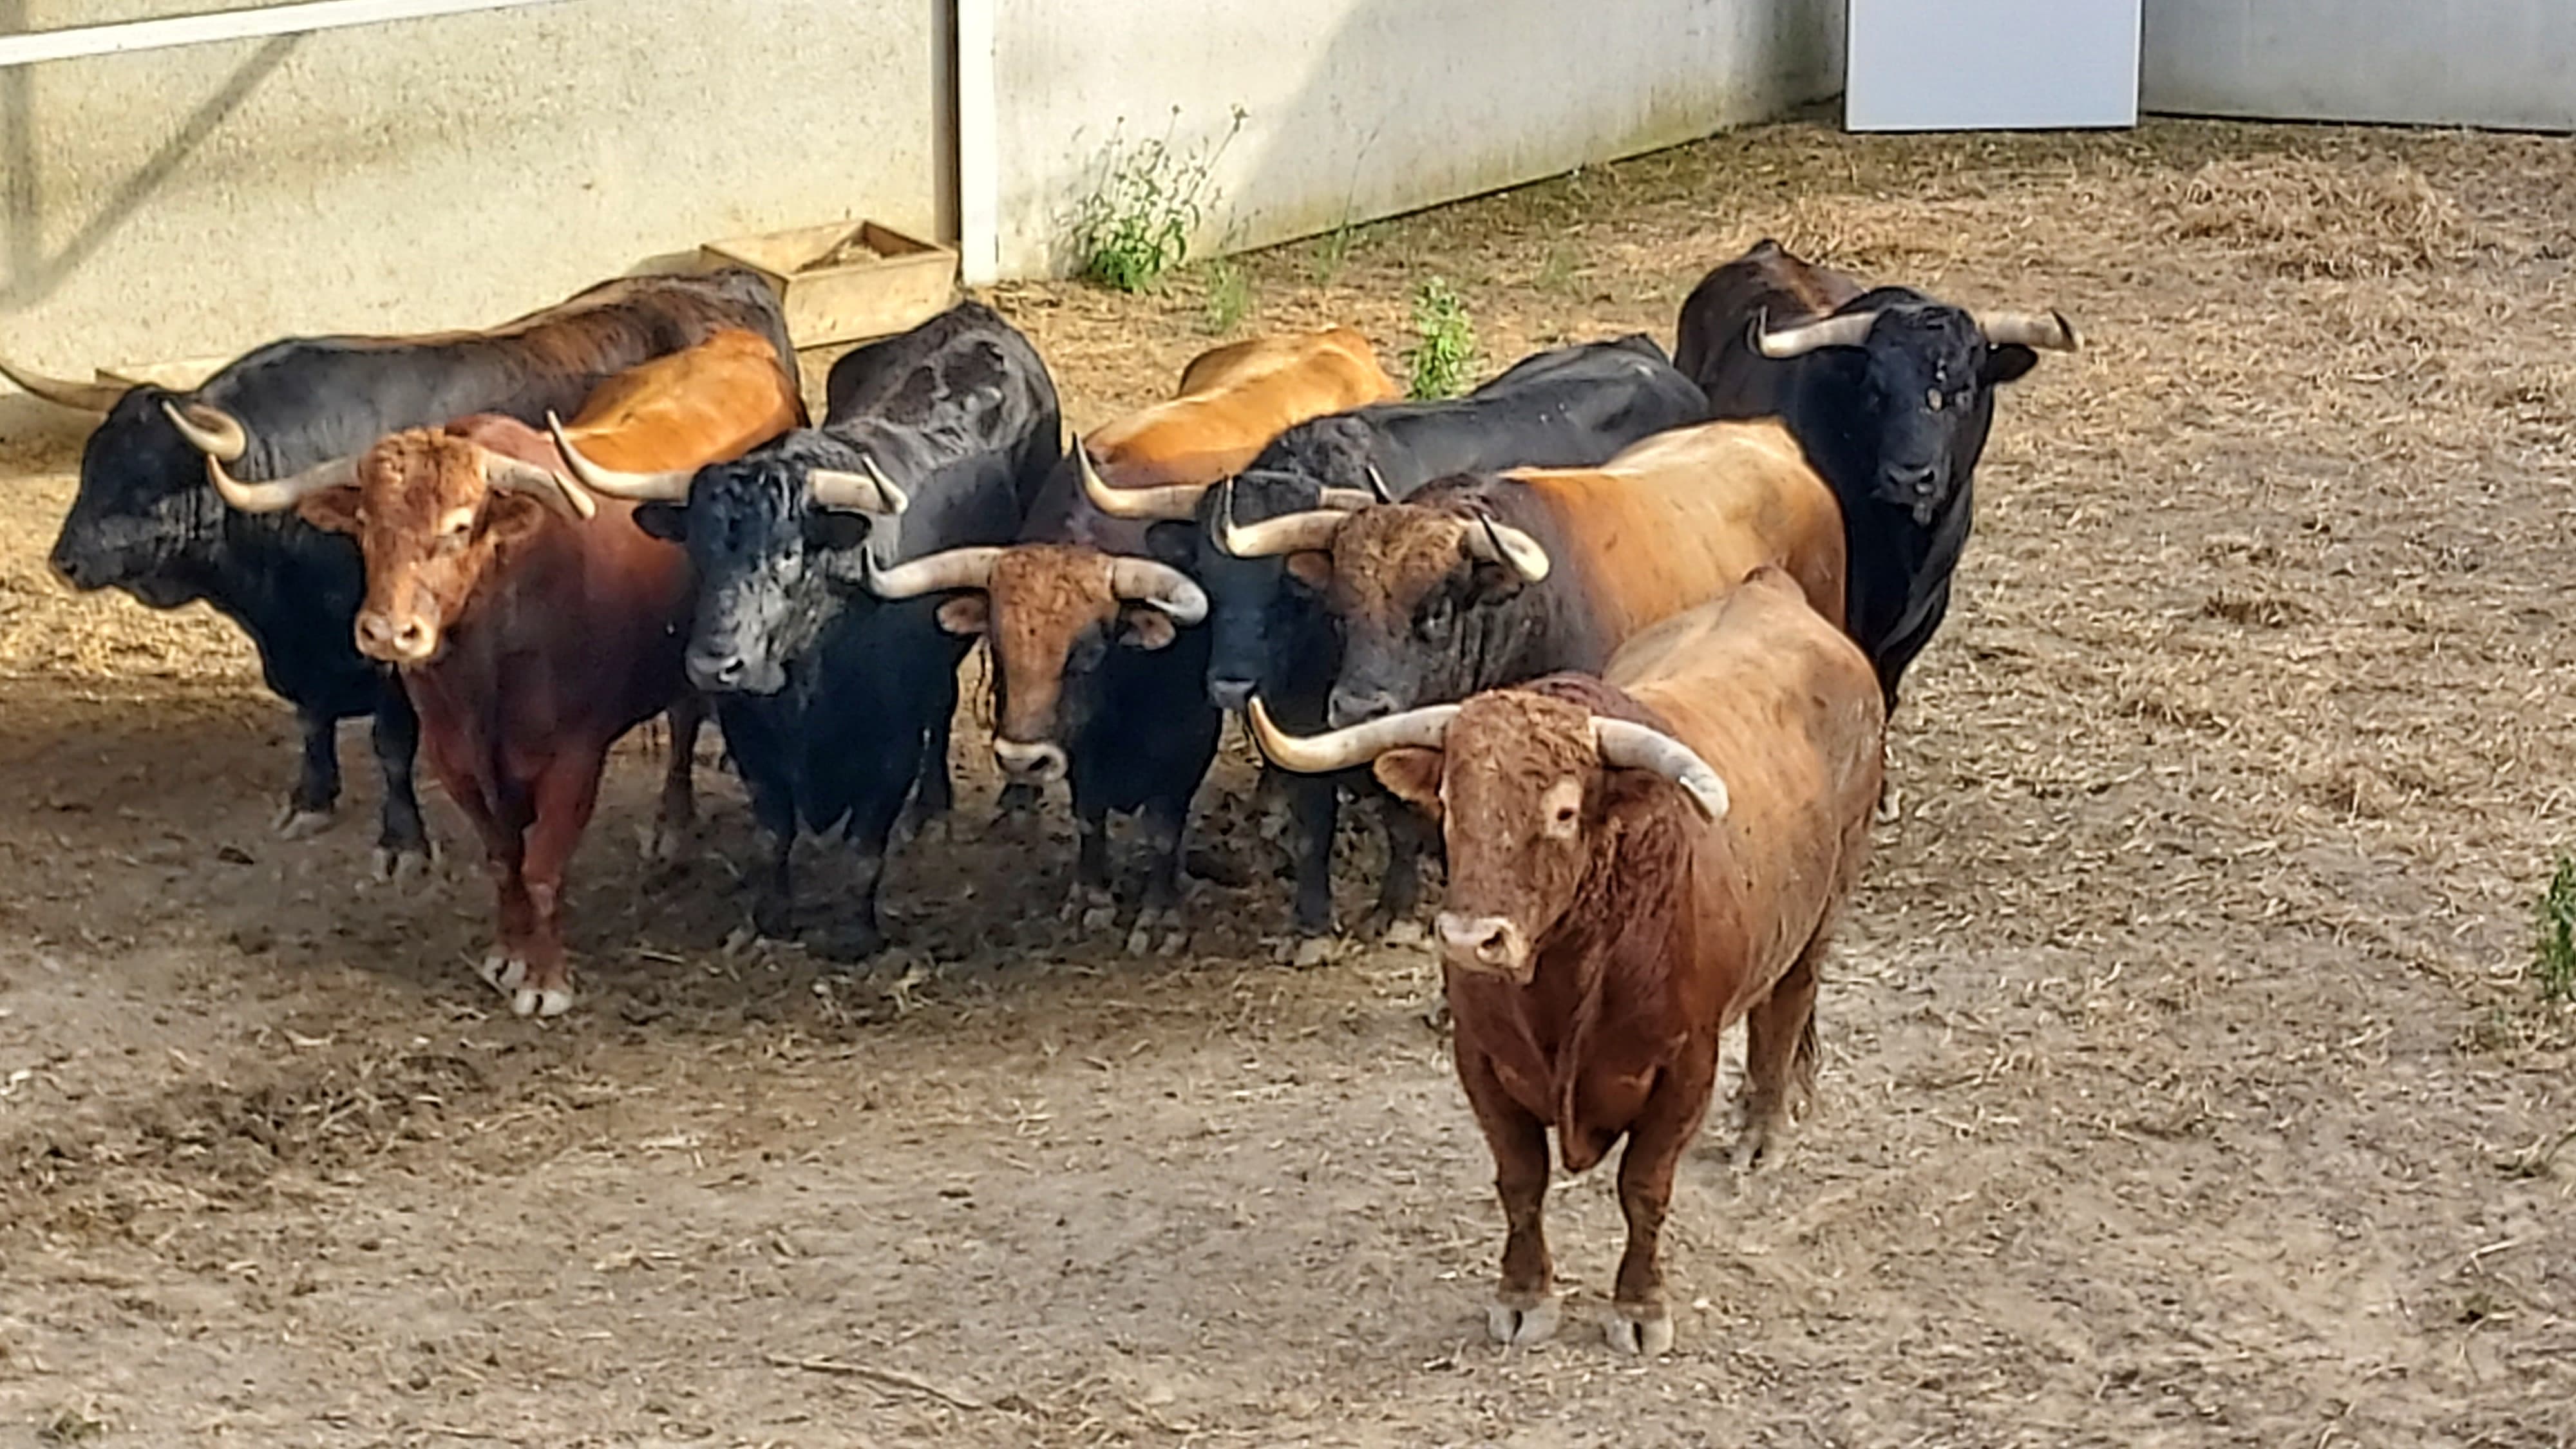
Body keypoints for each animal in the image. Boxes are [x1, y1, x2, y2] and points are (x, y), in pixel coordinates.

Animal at [216, 326, 799, 1010]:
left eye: (460, 526)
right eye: (365, 523)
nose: (388, 631)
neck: (487, 663)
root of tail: (734, 341)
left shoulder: (575, 758)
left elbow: (543, 868)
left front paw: (545, 980)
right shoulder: (456, 758)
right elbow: (504, 859)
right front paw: (507, 954)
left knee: (685, 721)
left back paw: (672, 828)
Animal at [1252, 567, 1886, 1350]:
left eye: (1561, 812)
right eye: (1450, 802)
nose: (1470, 939)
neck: (1566, 980)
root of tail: (1769, 589)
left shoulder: (1686, 1068)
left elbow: (1643, 1189)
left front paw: (1639, 1308)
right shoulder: (1482, 1063)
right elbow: (1521, 1182)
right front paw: (1524, 1295)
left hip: (1825, 903)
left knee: (1786, 1007)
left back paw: (1760, 1131)